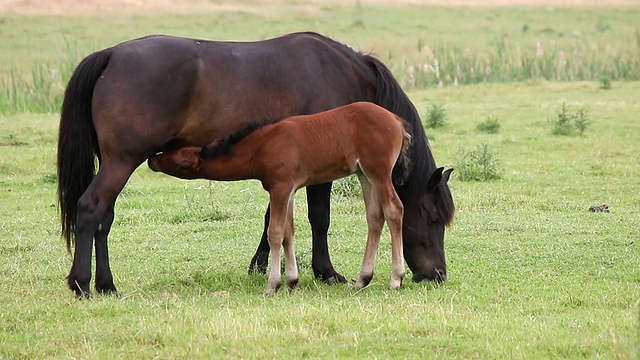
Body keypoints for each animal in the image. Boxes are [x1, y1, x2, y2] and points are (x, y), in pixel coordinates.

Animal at [148, 102, 412, 296]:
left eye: (178, 162)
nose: (152, 158)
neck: (263, 145)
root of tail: (396, 121)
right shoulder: (290, 190)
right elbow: (288, 232)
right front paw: (290, 282)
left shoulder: (280, 187)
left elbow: (274, 232)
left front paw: (272, 285)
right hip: (363, 174)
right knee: (374, 216)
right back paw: (362, 279)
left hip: (378, 172)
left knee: (394, 210)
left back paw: (395, 279)